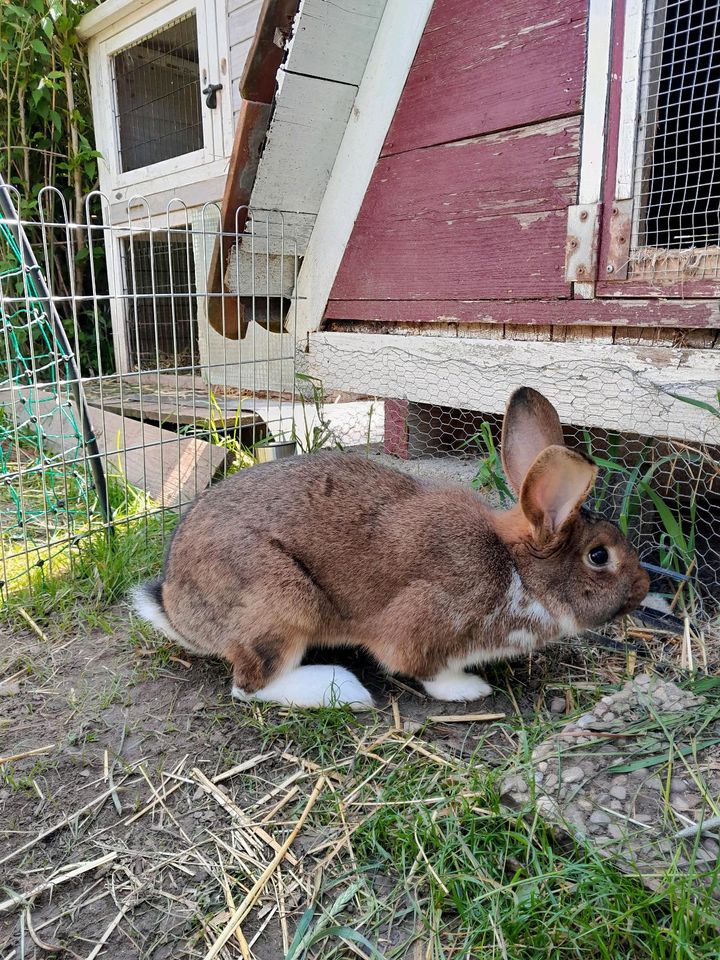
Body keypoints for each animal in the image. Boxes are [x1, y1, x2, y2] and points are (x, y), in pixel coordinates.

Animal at [132, 386, 648, 708]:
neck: (520, 570)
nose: (643, 587)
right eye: (599, 555)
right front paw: (469, 690)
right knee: (250, 686)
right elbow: (425, 669)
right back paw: (345, 691)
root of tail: (175, 607)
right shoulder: (429, 623)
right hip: (280, 607)